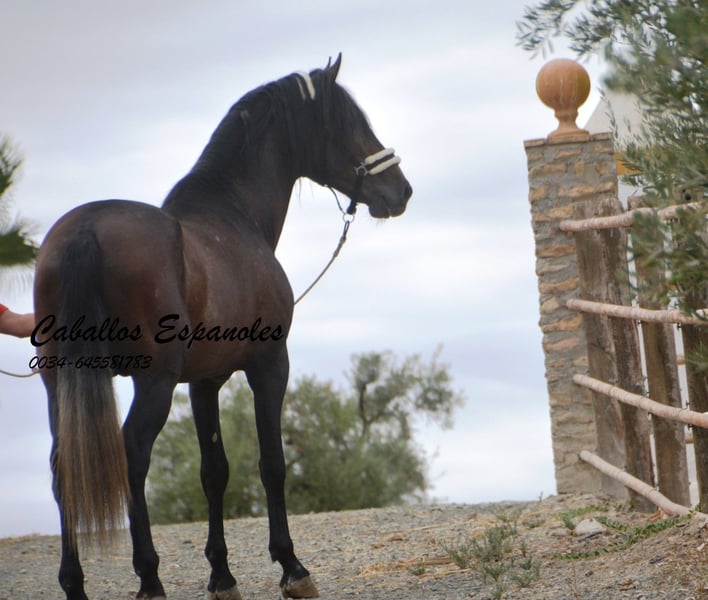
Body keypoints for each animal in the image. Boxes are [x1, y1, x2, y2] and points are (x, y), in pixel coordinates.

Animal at [32, 54, 412, 600]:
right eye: (350, 123)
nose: (401, 190)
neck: (233, 217)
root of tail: (84, 231)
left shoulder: (203, 383)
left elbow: (215, 471)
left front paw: (222, 575)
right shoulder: (270, 365)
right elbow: (271, 464)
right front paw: (292, 567)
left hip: (59, 382)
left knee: (65, 464)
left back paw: (74, 583)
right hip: (153, 382)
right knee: (132, 454)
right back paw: (149, 577)